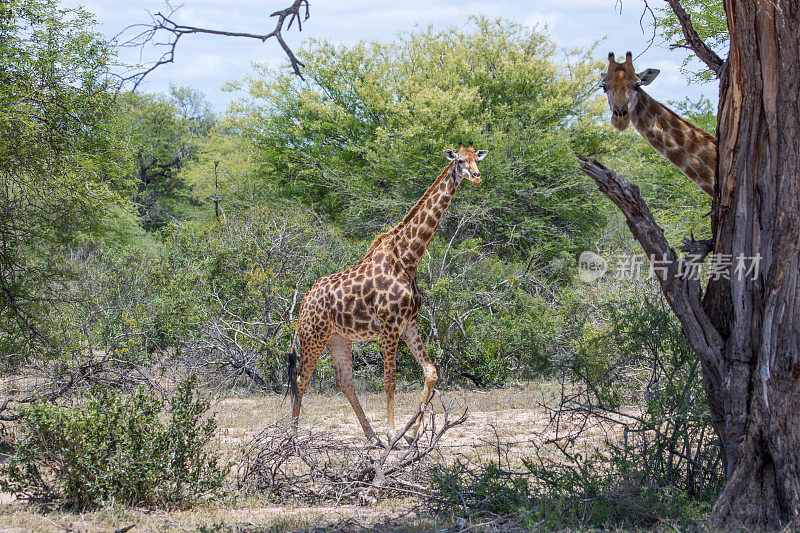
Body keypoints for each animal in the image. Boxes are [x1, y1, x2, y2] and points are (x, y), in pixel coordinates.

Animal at [288, 140, 488, 444]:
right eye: (459, 161)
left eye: (476, 158)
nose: (476, 177)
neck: (408, 259)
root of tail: (303, 303)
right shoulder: (390, 324)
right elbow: (390, 380)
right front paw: (394, 432)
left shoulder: (408, 323)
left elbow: (431, 373)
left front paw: (411, 434)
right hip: (314, 336)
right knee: (301, 378)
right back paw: (292, 437)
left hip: (338, 339)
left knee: (344, 381)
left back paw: (372, 437)